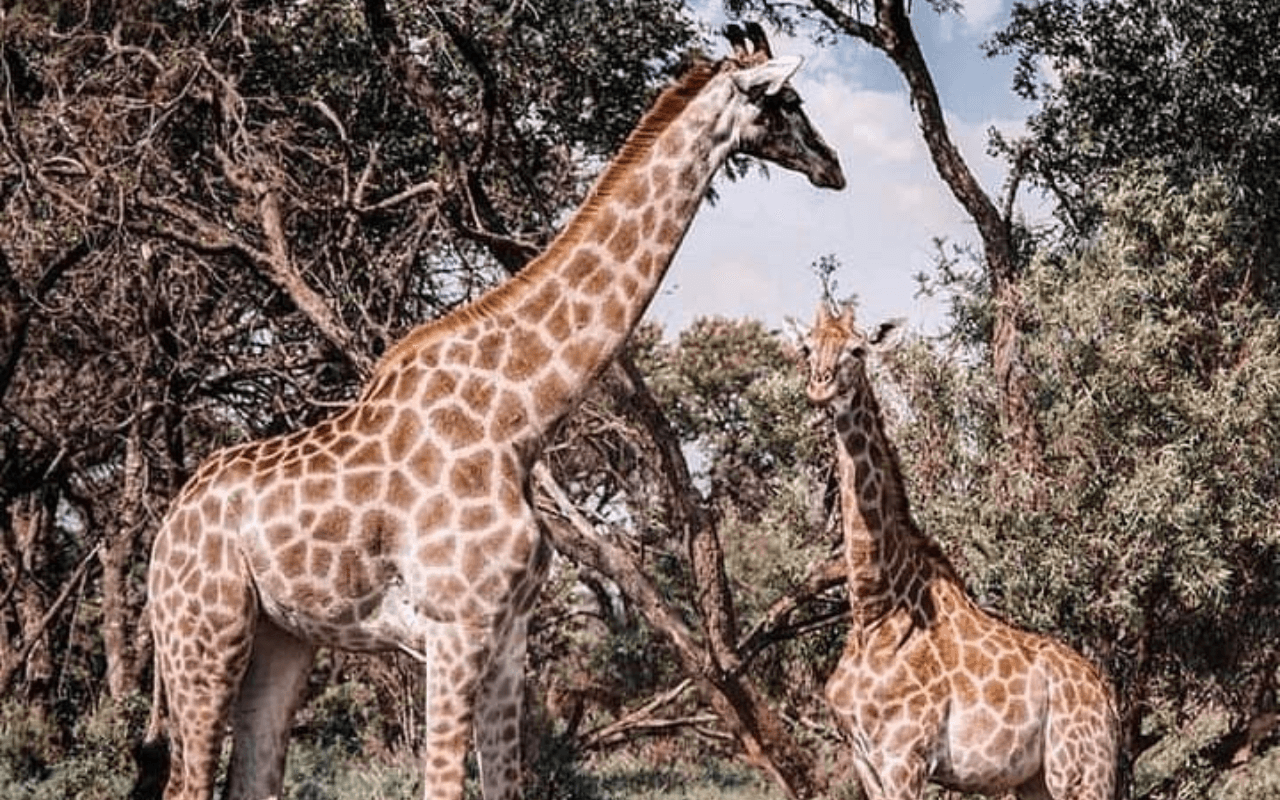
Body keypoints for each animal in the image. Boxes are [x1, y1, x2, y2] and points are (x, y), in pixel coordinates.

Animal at [136, 24, 844, 800]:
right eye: (789, 102)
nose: (835, 166)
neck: (518, 416)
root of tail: (166, 527)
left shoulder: (507, 637)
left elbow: (507, 781)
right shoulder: (455, 628)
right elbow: (442, 784)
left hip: (283, 637)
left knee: (253, 773)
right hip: (204, 632)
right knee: (187, 779)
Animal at [800, 302, 1119, 800]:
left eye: (857, 350)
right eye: (806, 347)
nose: (820, 384)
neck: (874, 610)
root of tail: (1108, 700)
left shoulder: (904, 757)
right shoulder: (864, 760)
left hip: (1081, 770)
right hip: (1034, 780)